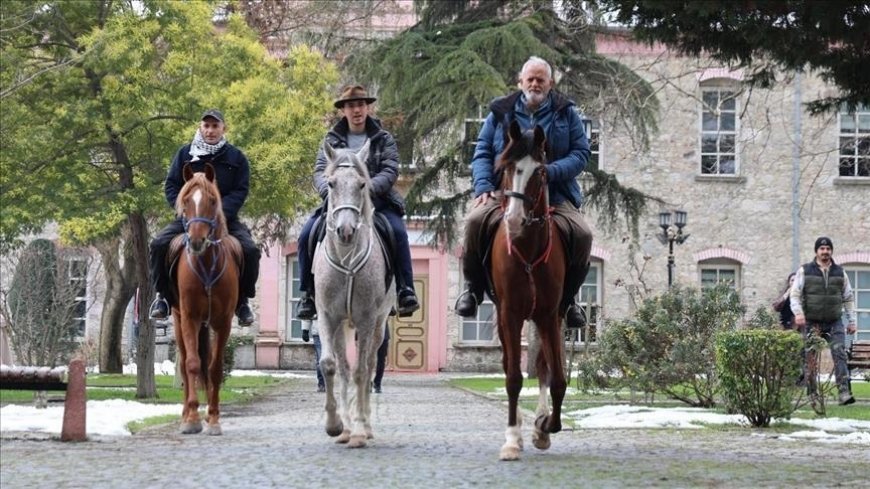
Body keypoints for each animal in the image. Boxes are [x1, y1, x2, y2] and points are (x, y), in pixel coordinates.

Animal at [171, 164, 242, 434]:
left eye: (212, 200)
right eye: (186, 200)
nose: (196, 241)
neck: (206, 263)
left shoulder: (223, 322)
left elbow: (214, 367)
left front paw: (213, 418)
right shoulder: (190, 317)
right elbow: (192, 364)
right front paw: (192, 418)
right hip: (177, 319)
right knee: (183, 364)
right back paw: (184, 414)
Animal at [316, 140, 394, 446]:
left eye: (362, 184)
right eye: (331, 183)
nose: (346, 231)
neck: (347, 259)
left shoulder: (366, 319)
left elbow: (362, 372)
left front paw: (360, 431)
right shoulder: (327, 316)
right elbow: (330, 365)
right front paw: (335, 425)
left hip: (378, 326)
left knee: (369, 366)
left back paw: (365, 427)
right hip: (342, 327)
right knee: (344, 369)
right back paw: (346, 429)